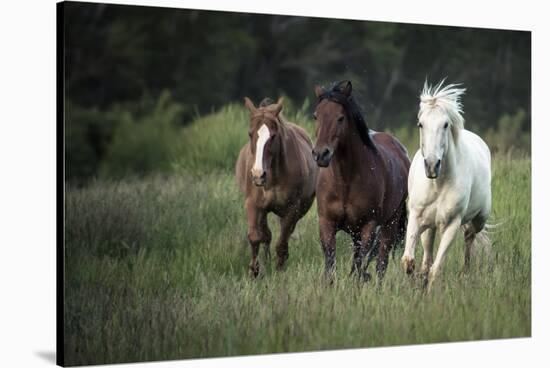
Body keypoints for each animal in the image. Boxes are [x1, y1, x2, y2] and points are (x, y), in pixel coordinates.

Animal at [236, 96, 320, 278]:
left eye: (273, 136)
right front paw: (254, 271)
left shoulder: (291, 208)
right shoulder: (253, 204)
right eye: (250, 133)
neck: (273, 177)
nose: (258, 175)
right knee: (266, 234)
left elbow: (282, 243)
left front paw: (280, 270)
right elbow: (255, 236)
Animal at [312, 81, 412, 282]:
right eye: (316, 116)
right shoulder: (326, 223)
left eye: (340, 118)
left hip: (389, 223)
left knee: (381, 263)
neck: (344, 181)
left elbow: (360, 265)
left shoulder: (368, 227)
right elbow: (330, 265)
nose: (321, 154)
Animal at [402, 80, 496, 290]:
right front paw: (415, 285)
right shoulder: (416, 218)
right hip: (429, 225)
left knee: (469, 236)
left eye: (445, 125)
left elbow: (436, 269)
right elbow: (409, 261)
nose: (431, 165)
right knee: (428, 252)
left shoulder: (451, 225)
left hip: (479, 219)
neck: (438, 184)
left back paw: (464, 274)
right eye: (420, 124)